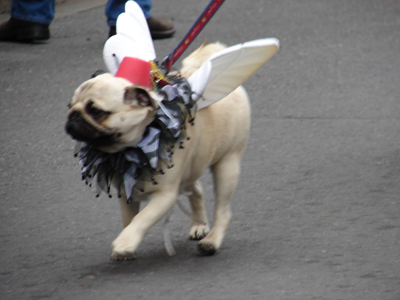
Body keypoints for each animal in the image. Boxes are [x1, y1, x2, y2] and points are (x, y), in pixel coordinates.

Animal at [65, 42, 250, 260]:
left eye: (96, 111)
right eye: (69, 105)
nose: (74, 115)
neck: (133, 147)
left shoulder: (164, 195)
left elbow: (142, 218)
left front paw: (125, 243)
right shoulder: (126, 192)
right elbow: (128, 218)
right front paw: (125, 248)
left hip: (227, 165)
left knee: (223, 210)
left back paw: (211, 241)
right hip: (193, 167)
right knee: (197, 190)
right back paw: (199, 225)